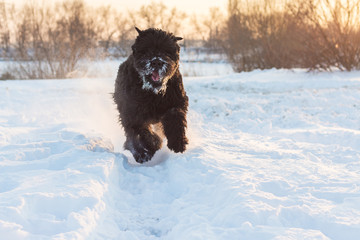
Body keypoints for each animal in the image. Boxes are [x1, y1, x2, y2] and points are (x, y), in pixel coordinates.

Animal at [114, 27, 188, 163]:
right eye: (146, 49)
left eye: (167, 51)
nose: (157, 62)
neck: (154, 93)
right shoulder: (132, 113)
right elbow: (142, 131)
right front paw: (155, 143)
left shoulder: (176, 102)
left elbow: (175, 118)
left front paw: (178, 143)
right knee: (131, 138)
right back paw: (142, 154)